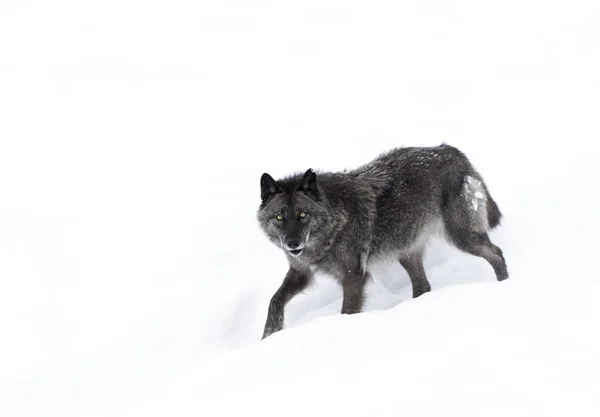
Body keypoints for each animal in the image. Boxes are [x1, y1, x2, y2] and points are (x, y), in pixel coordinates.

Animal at [255, 143, 508, 338]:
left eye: (303, 215)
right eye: (279, 217)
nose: (292, 243)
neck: (333, 224)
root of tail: (452, 151)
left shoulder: (354, 277)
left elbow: (347, 312)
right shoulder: (301, 271)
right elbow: (274, 300)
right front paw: (268, 336)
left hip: (462, 238)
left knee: (496, 252)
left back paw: (504, 285)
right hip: (406, 252)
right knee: (423, 286)